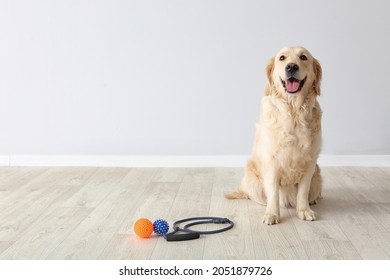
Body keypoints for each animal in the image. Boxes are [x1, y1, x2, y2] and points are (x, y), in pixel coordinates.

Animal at [225, 46, 322, 225]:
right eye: (282, 58)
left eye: (303, 57)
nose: (291, 67)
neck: (293, 112)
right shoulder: (271, 161)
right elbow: (274, 193)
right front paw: (272, 214)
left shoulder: (309, 162)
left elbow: (303, 192)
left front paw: (304, 211)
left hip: (317, 176)